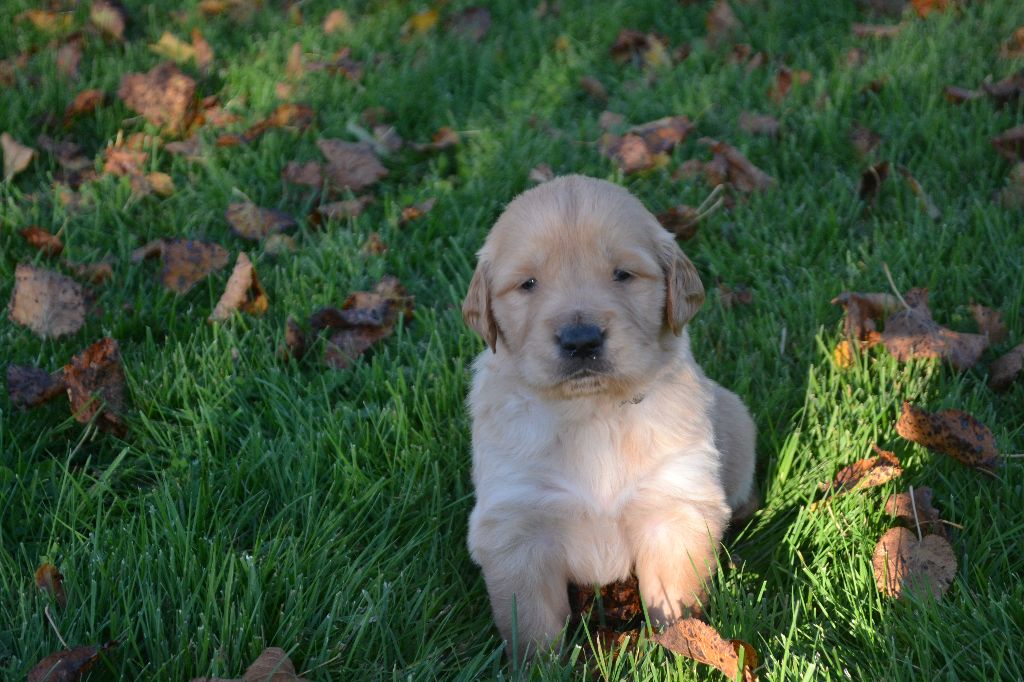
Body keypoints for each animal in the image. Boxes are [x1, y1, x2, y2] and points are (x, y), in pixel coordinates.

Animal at [460, 174, 757, 655]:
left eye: (623, 275)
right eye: (528, 284)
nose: (581, 340)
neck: (592, 413)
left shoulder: (675, 508)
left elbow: (675, 603)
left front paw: (680, 650)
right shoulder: (517, 526)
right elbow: (532, 625)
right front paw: (539, 664)